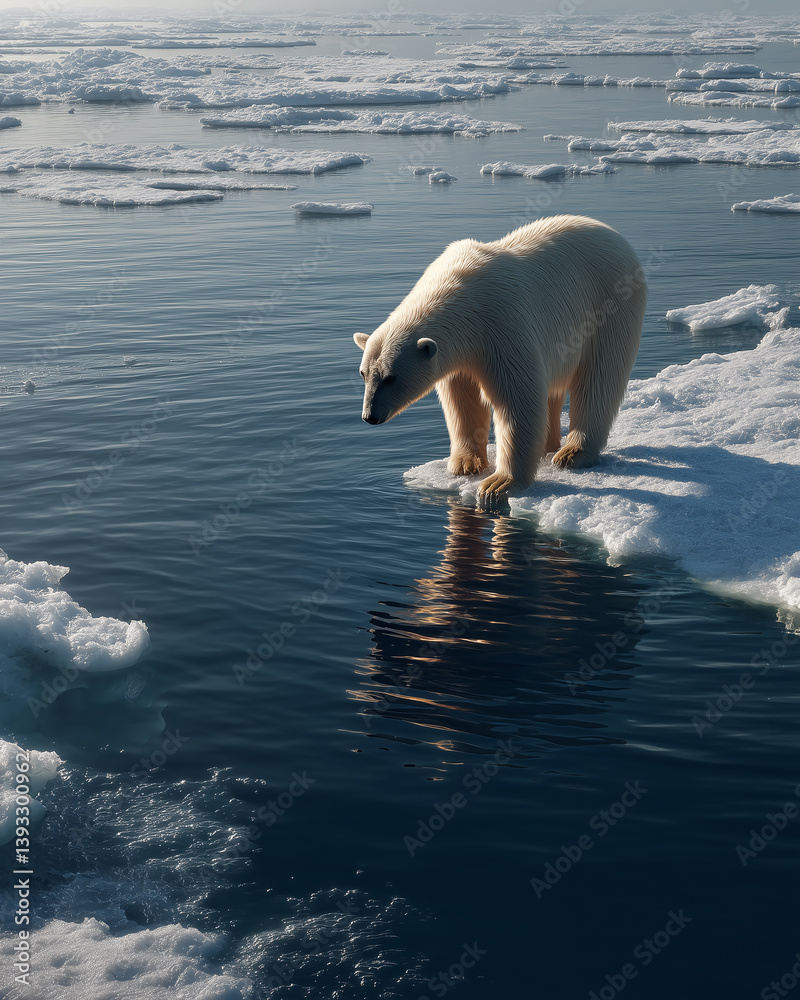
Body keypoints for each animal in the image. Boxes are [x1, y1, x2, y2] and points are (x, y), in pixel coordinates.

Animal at [354, 215, 647, 498]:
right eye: (364, 374)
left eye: (390, 377)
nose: (370, 416)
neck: (460, 291)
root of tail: (616, 236)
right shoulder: (462, 354)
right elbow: (462, 401)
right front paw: (465, 464)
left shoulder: (501, 324)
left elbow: (518, 399)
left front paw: (498, 484)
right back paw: (549, 446)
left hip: (608, 305)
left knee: (600, 377)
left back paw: (572, 454)